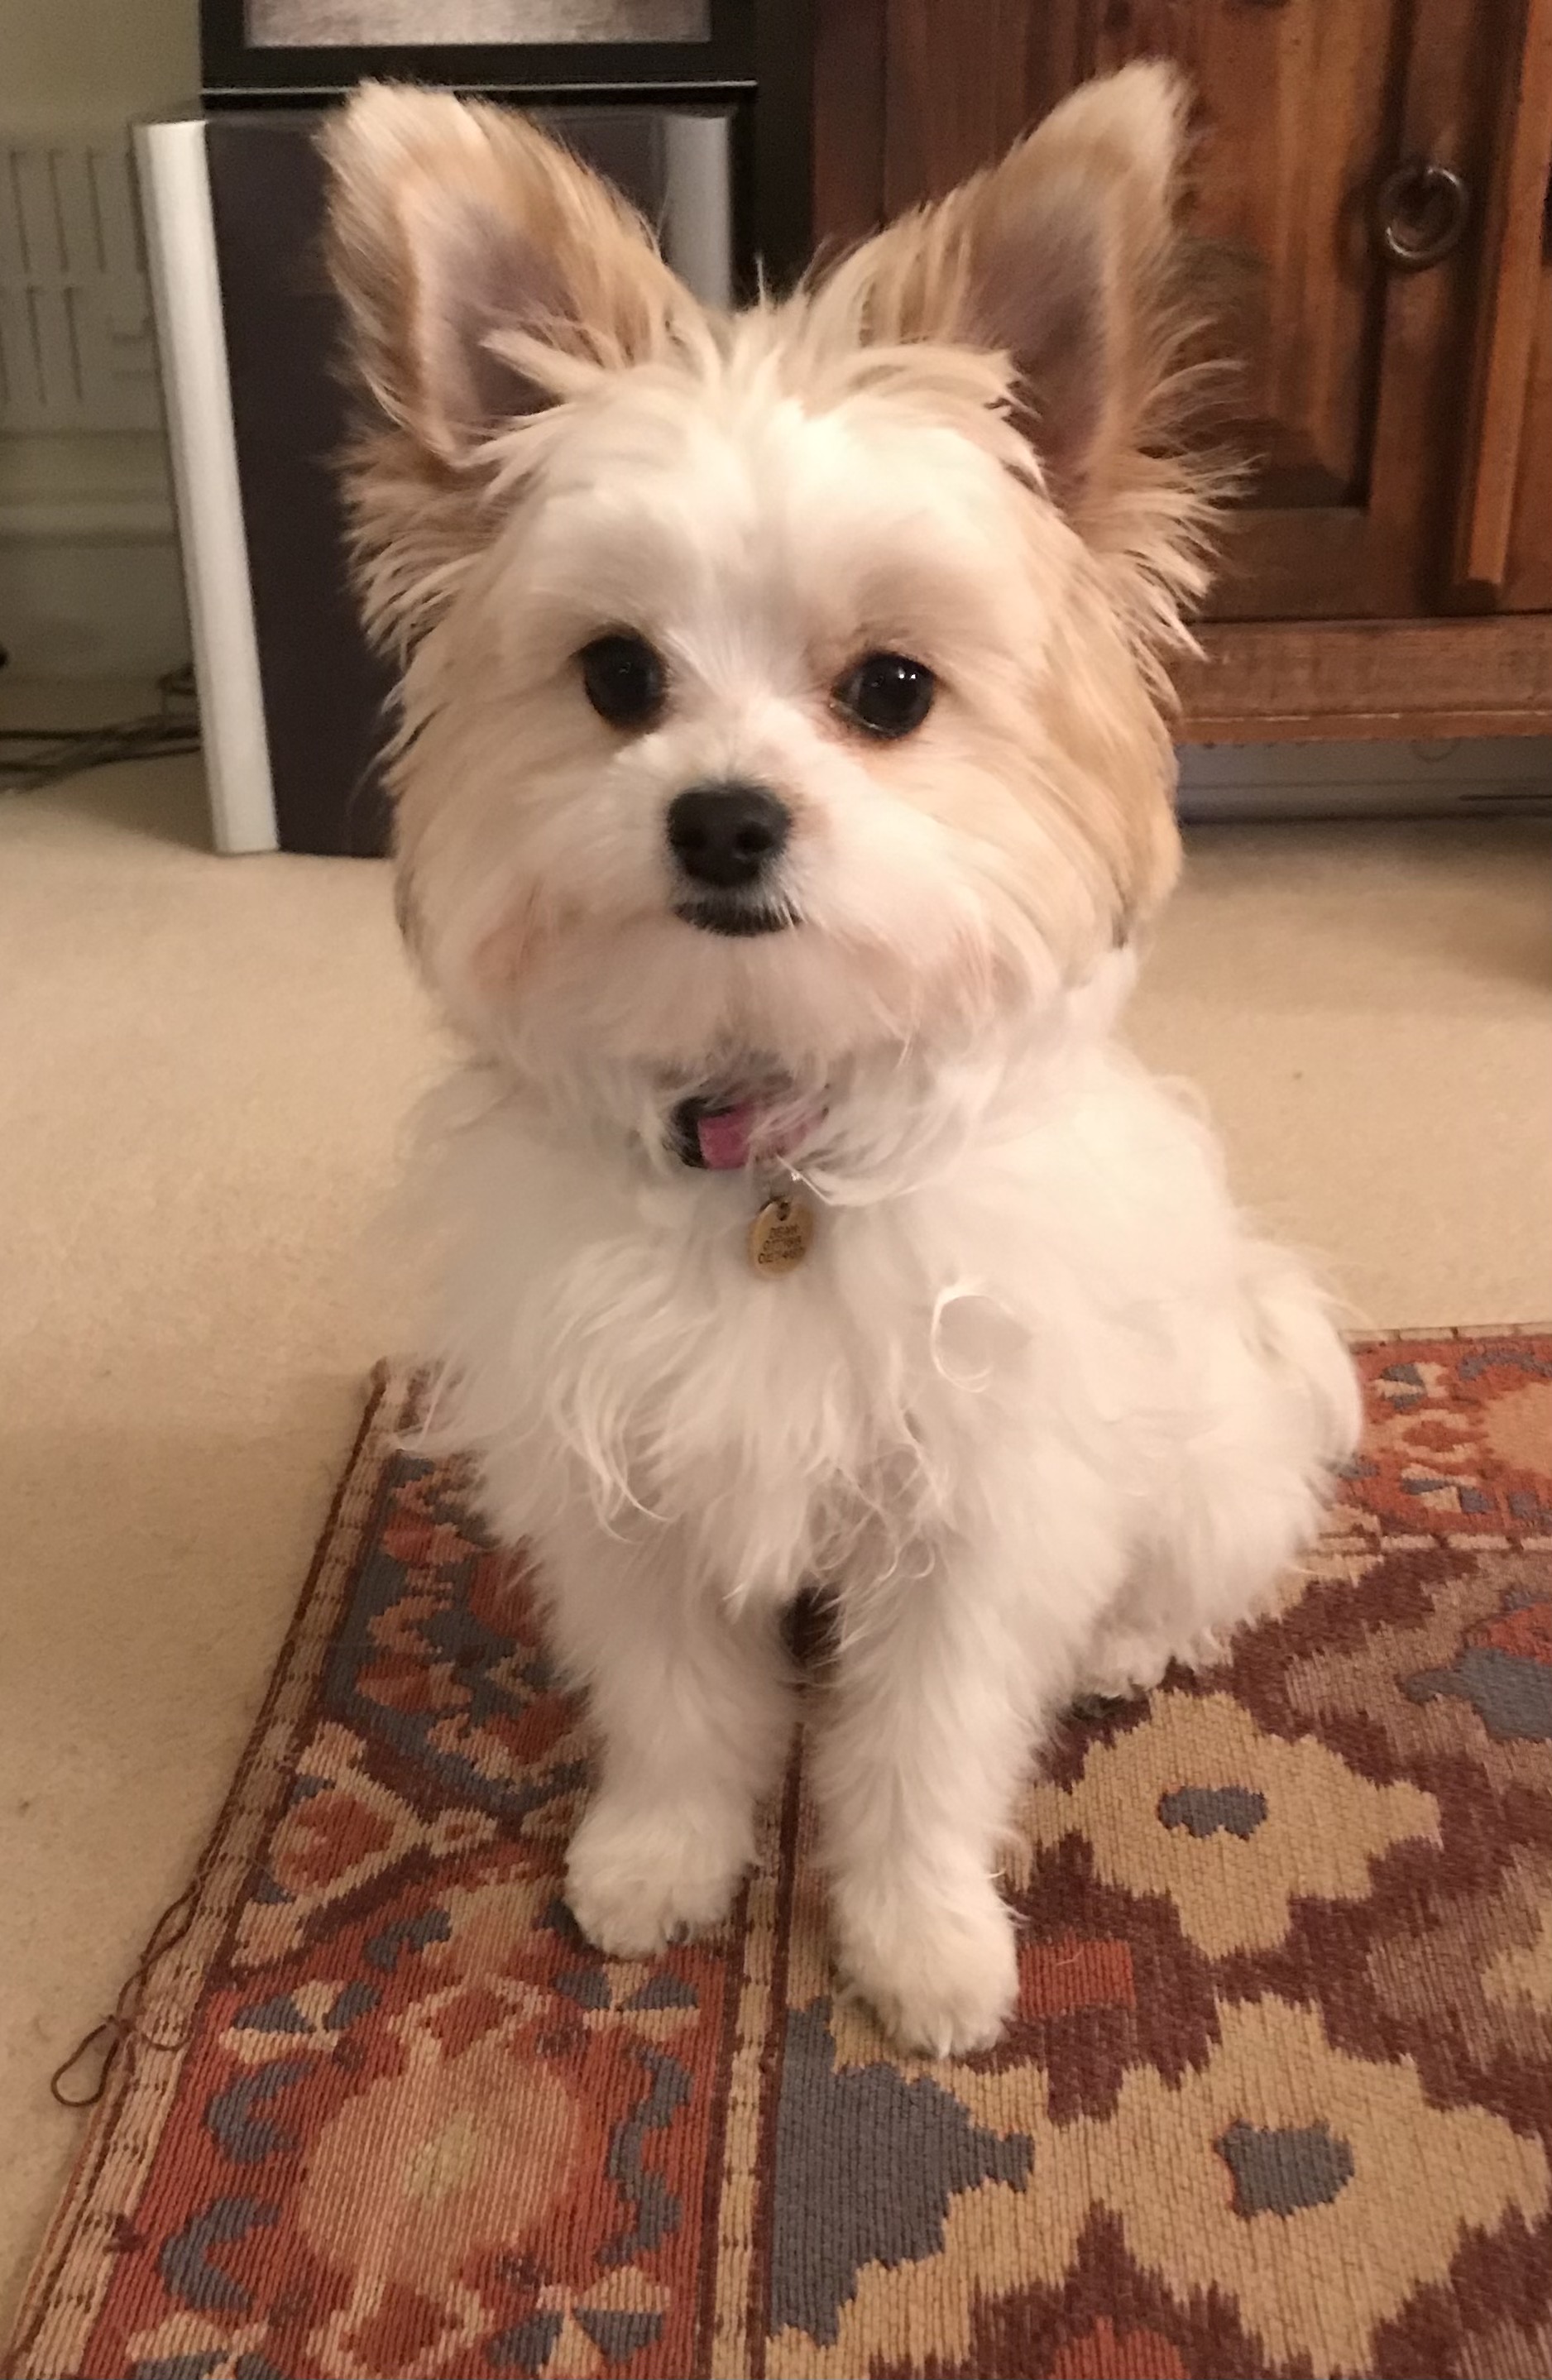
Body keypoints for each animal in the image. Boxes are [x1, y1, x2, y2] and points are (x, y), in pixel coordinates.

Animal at [323, 65, 1361, 2056]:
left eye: (890, 690)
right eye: (616, 676)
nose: (724, 818)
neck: (774, 1136)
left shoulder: (978, 1515)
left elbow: (921, 1750)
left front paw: (918, 1937)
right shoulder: (623, 1488)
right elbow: (675, 1711)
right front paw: (660, 1859)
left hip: (1203, 1443)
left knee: (1185, 1571)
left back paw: (1126, 1636)